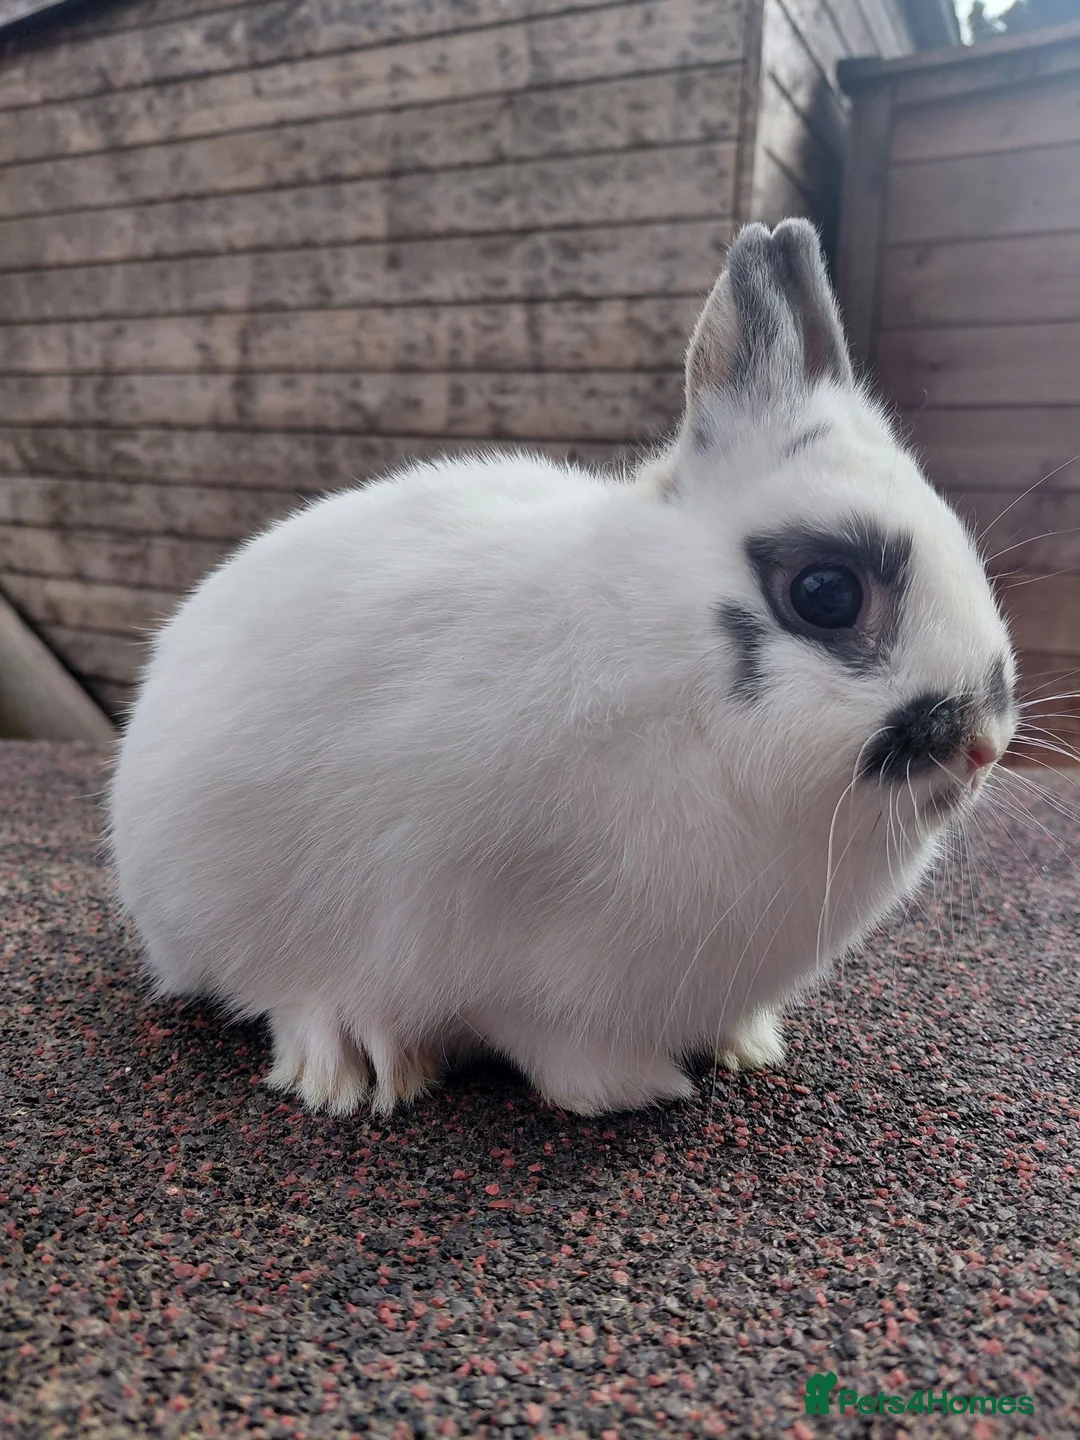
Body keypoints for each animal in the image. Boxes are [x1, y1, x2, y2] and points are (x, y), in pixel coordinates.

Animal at [108, 219, 1018, 1118]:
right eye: (825, 593)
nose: (983, 747)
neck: (666, 677)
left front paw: (748, 1046)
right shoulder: (505, 950)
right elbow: (554, 1046)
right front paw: (643, 1088)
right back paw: (351, 1060)